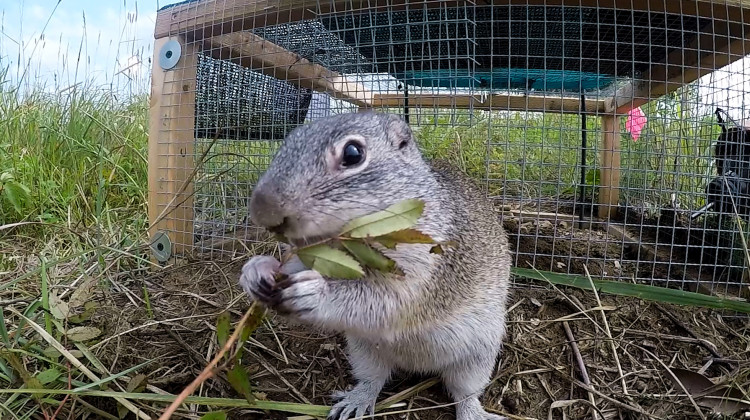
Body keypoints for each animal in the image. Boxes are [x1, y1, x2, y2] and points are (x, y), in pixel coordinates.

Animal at [239, 111, 512, 420]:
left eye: (353, 153)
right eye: (287, 141)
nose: (263, 212)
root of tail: (418, 367)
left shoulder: (424, 270)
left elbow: (384, 301)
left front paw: (314, 293)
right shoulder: (312, 254)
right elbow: (293, 266)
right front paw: (257, 269)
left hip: (477, 358)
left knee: (465, 393)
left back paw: (472, 411)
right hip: (364, 352)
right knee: (373, 380)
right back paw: (357, 400)